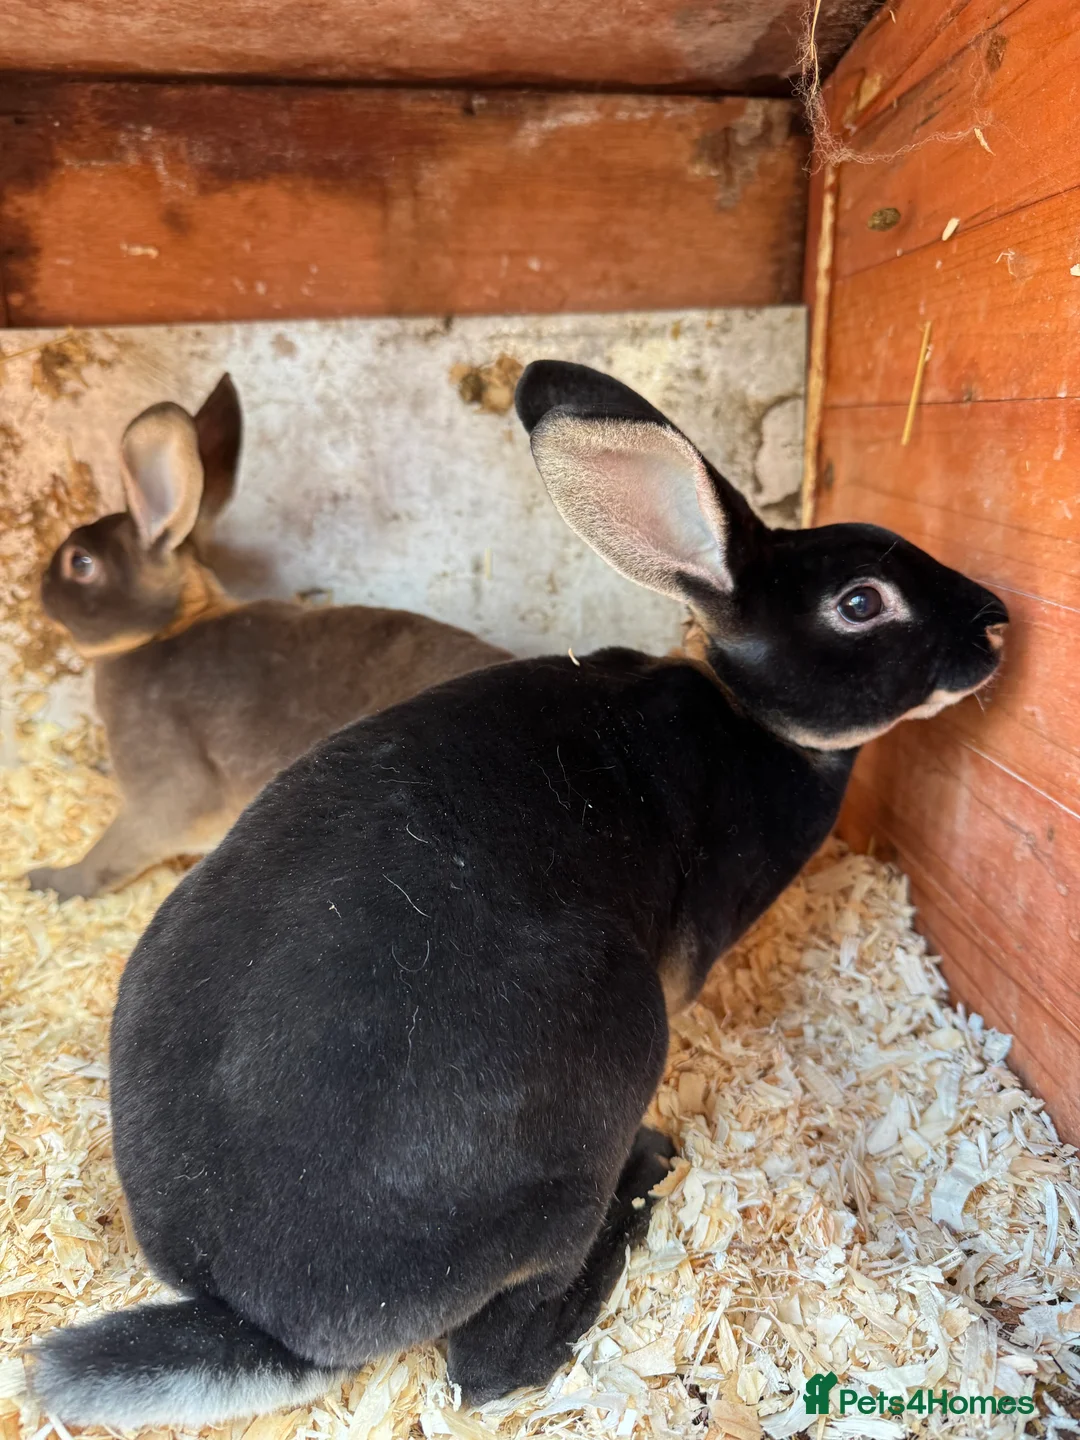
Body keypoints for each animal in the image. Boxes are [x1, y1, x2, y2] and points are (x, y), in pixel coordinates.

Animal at [26, 374, 511, 900]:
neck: (160, 632)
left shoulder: (162, 796)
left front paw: (48, 881)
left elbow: (110, 857)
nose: (40, 586)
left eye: (80, 563)